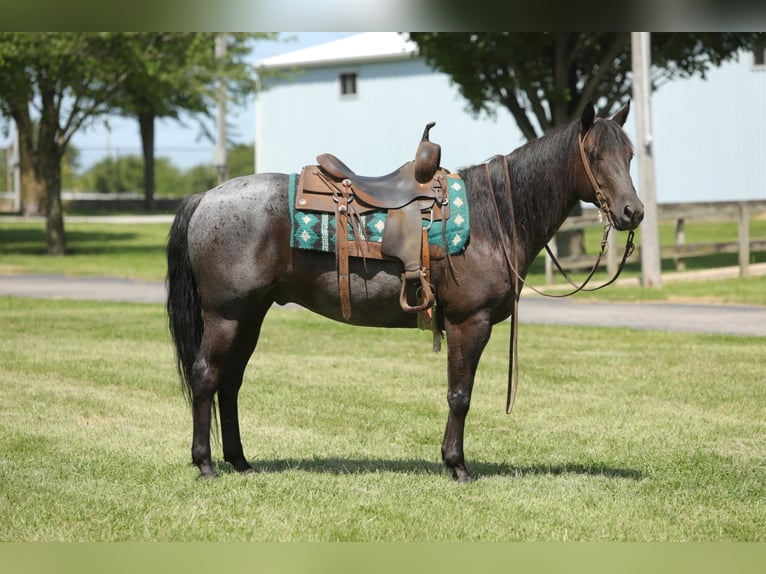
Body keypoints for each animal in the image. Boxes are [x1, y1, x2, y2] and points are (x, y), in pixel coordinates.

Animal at [170, 101, 648, 484]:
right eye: (595, 155)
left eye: (630, 154)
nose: (633, 212)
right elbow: (460, 396)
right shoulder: (468, 323)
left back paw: (240, 461)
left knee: (230, 382)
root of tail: (205, 197)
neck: (492, 216)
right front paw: (457, 465)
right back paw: (206, 463)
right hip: (226, 315)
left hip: (251, 314)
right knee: (206, 376)